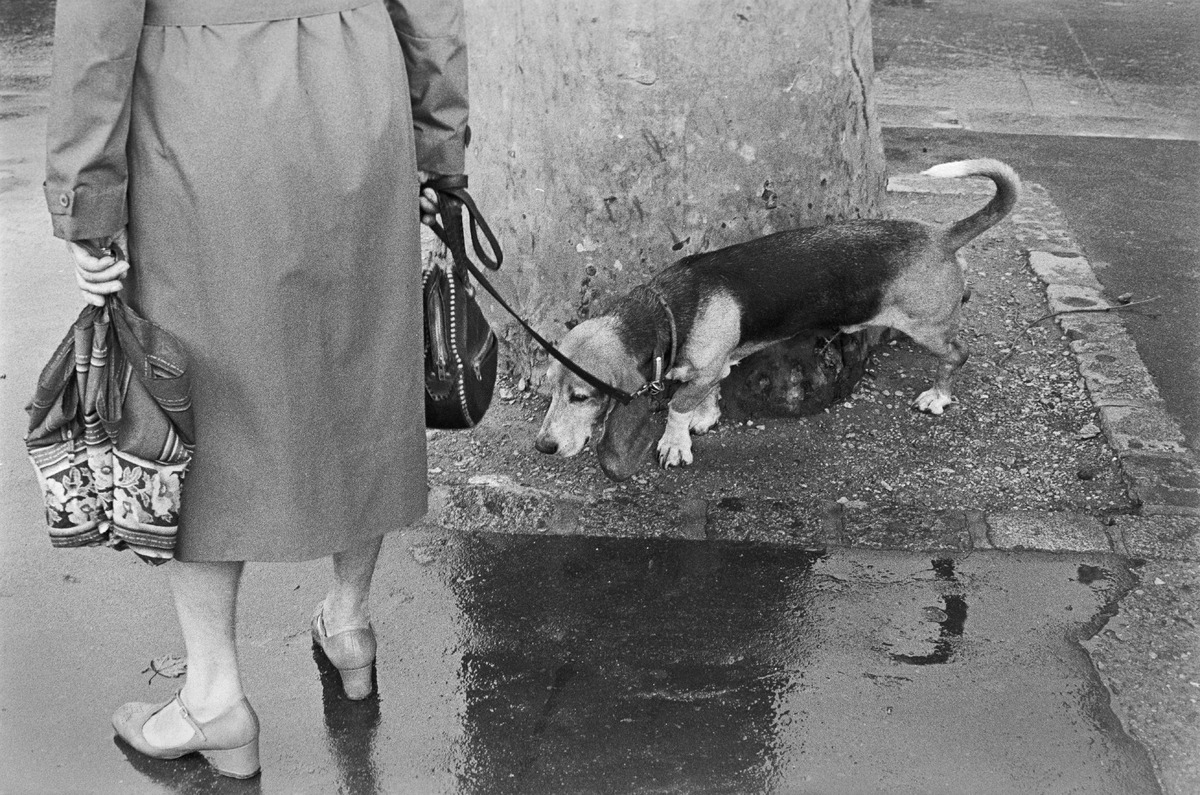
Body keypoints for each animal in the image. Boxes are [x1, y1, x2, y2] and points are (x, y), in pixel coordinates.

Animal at [535, 156, 1022, 480]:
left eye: (581, 397)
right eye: (549, 391)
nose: (543, 447)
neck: (667, 310)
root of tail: (941, 236)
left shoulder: (698, 370)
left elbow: (676, 406)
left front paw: (675, 442)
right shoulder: (713, 365)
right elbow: (707, 391)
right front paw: (704, 417)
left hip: (927, 328)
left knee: (957, 353)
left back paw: (938, 396)